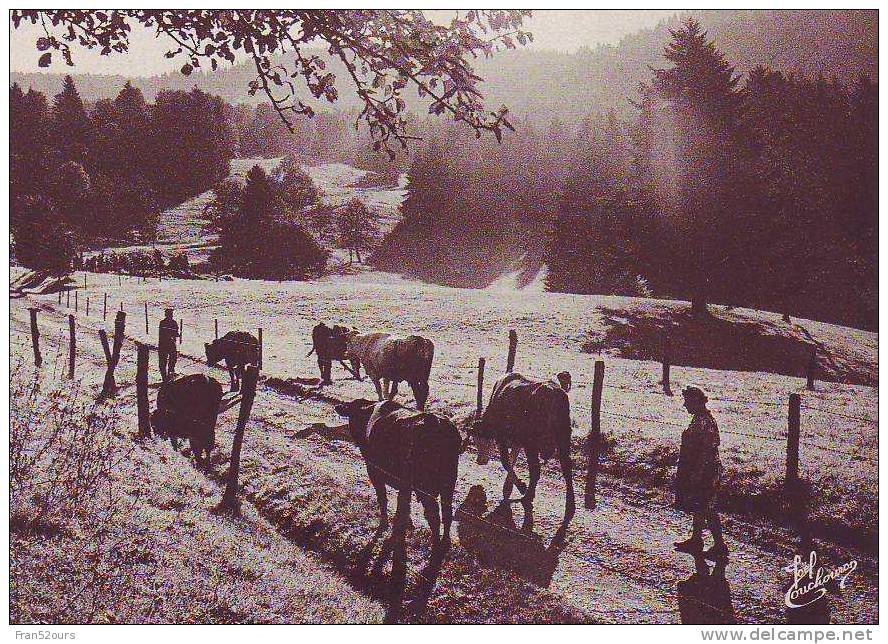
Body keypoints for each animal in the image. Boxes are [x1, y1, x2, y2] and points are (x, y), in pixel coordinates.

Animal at [332, 400, 458, 544]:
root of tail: (434, 421)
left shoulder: (374, 471)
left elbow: (384, 499)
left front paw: (385, 523)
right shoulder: (404, 484)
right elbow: (404, 504)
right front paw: (408, 524)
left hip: (426, 487)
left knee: (434, 516)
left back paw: (436, 542)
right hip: (449, 482)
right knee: (447, 513)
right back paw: (445, 541)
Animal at [472, 372, 576, 544]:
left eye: (480, 439)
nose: (480, 461)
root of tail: (553, 392)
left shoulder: (504, 437)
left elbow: (505, 461)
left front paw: (520, 485)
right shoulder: (517, 440)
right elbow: (512, 458)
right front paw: (509, 486)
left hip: (532, 444)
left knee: (535, 470)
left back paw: (527, 496)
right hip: (563, 438)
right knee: (567, 469)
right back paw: (570, 507)